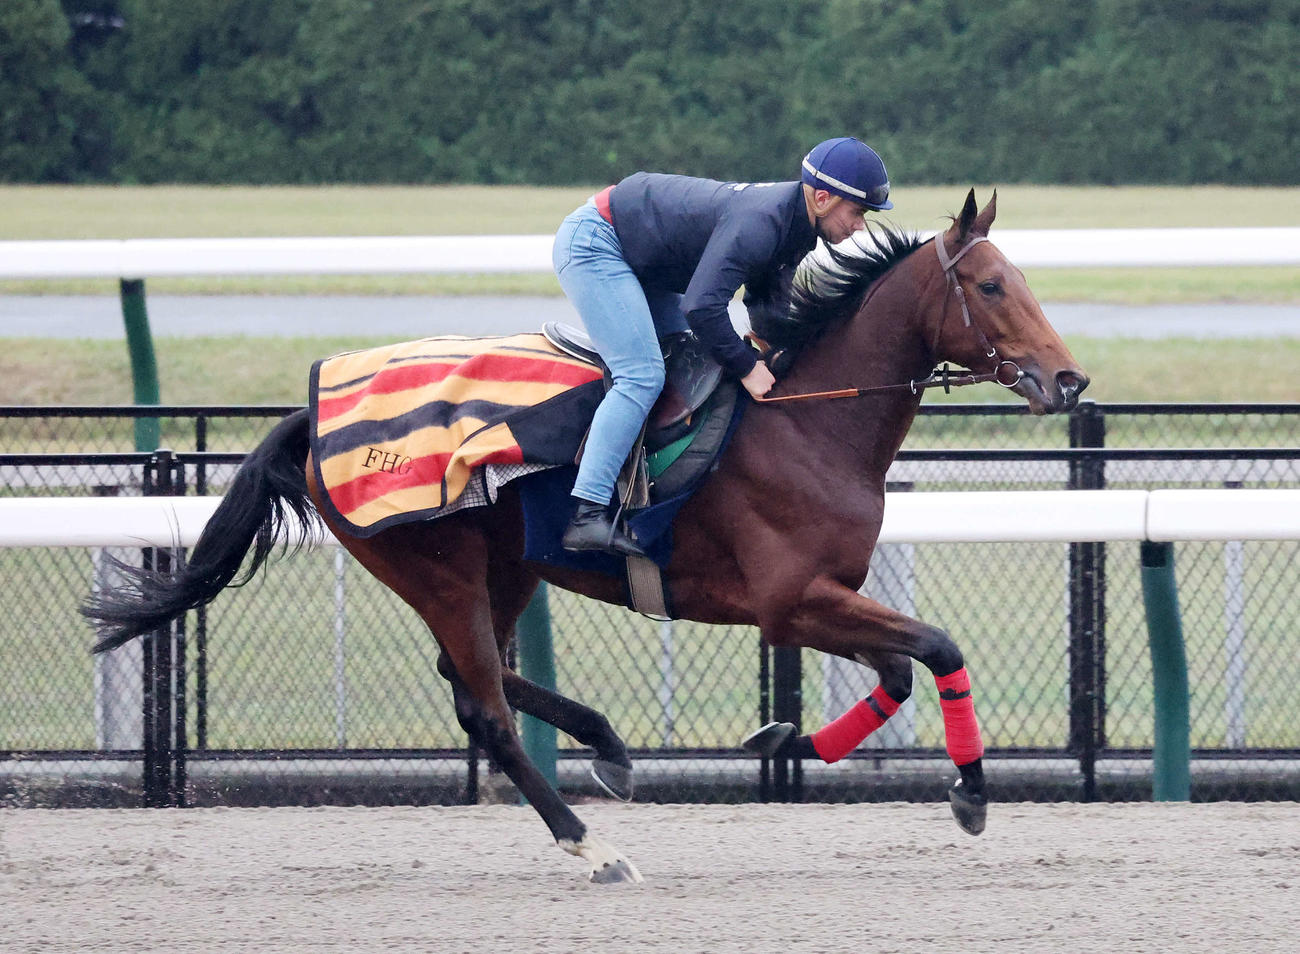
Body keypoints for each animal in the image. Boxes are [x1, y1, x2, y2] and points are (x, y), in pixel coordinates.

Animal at [83, 191, 1088, 884]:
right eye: (992, 284)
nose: (1069, 380)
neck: (805, 419)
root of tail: (313, 411)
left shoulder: (825, 597)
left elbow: (893, 675)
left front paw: (784, 739)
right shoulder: (789, 602)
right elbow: (937, 647)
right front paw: (969, 793)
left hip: (507, 565)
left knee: (469, 677)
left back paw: (607, 745)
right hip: (439, 568)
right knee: (483, 707)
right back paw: (590, 844)